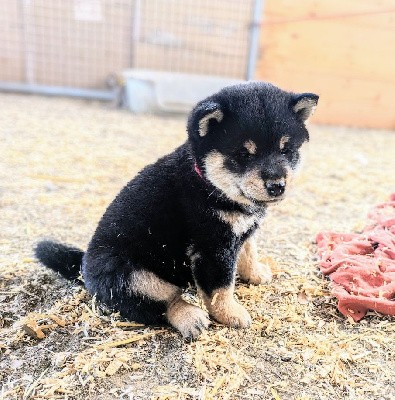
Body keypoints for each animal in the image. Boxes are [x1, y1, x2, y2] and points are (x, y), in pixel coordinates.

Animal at [34, 83, 318, 340]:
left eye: (286, 150)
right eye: (243, 154)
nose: (277, 185)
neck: (207, 184)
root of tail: (83, 265)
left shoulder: (241, 230)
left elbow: (249, 252)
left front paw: (256, 273)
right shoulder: (212, 247)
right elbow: (221, 288)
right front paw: (231, 313)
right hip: (130, 276)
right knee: (163, 303)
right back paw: (190, 317)